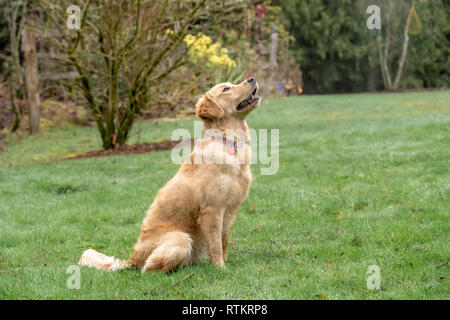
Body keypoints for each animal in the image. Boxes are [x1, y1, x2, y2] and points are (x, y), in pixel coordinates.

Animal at [78, 77, 260, 272]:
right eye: (226, 89)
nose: (252, 78)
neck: (227, 142)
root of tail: (132, 258)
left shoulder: (230, 210)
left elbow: (223, 241)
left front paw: (225, 263)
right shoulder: (212, 210)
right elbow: (216, 244)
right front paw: (220, 268)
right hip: (180, 238)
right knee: (148, 269)